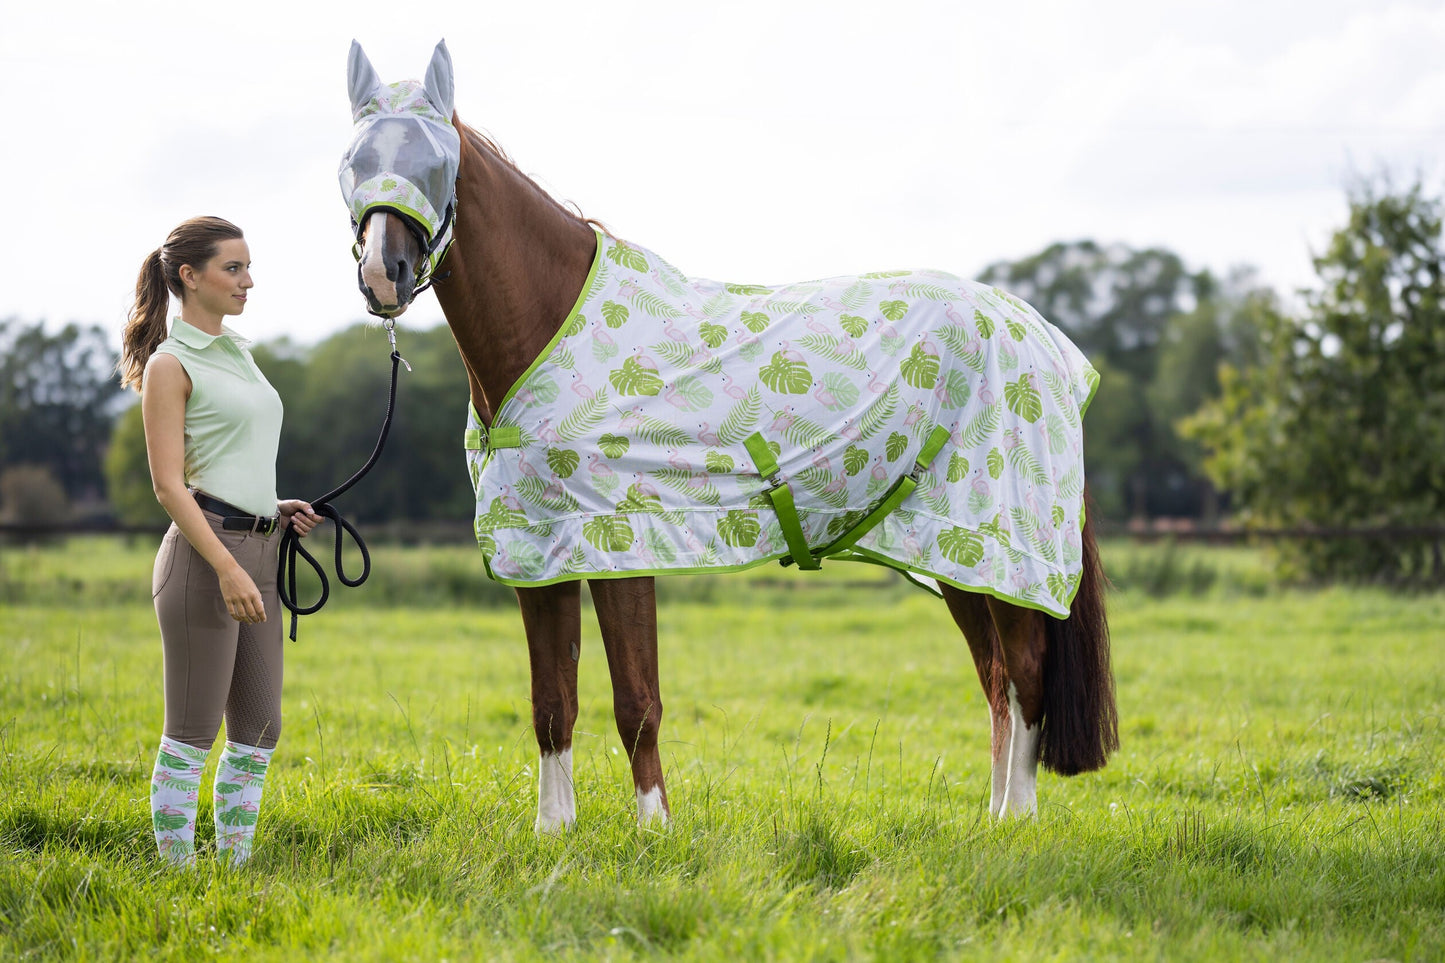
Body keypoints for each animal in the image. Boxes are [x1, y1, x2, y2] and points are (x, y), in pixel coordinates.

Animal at [337, 40, 1117, 832]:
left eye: (439, 160)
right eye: (352, 161)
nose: (384, 273)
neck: (550, 324)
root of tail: (1043, 338)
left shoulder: (619, 540)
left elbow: (636, 703)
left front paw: (654, 829)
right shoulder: (538, 549)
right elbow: (552, 703)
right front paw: (553, 831)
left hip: (1003, 545)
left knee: (1025, 672)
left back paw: (1017, 821)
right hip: (949, 550)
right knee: (996, 677)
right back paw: (993, 818)